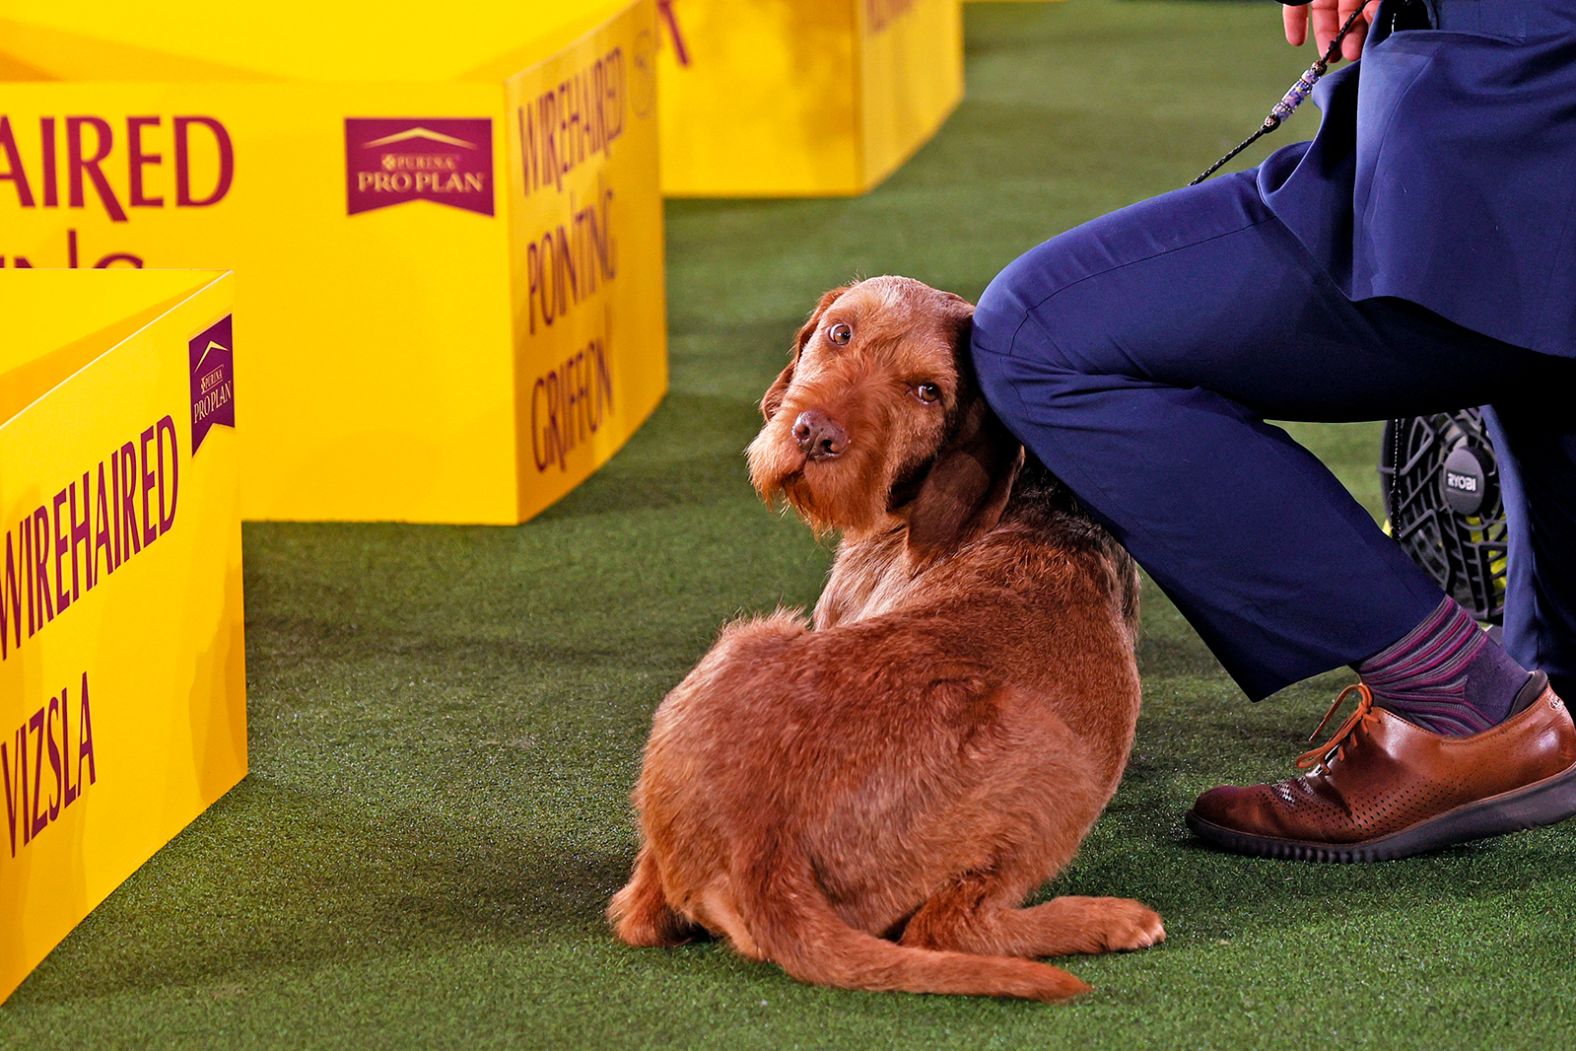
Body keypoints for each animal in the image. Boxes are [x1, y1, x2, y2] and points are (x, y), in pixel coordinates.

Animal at [602, 275, 1159, 1002]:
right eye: (841, 332)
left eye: (928, 390)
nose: (815, 434)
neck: (1032, 497)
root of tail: (764, 845)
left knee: (947, 927)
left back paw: (1112, 920)